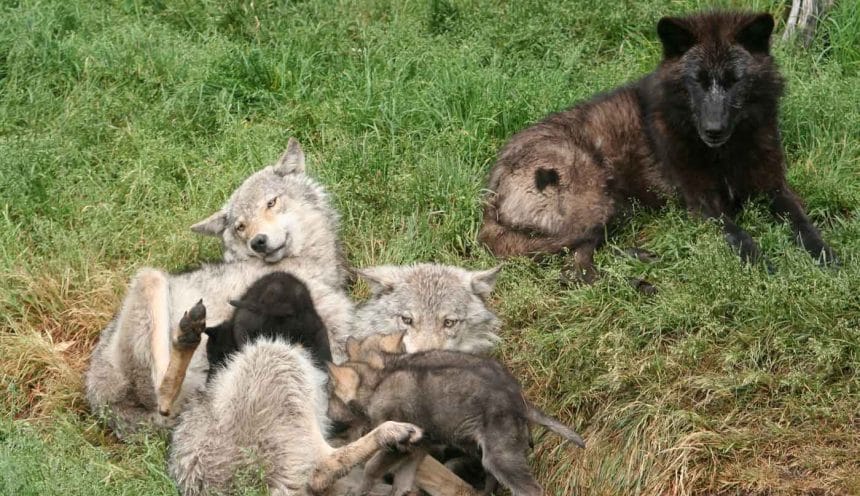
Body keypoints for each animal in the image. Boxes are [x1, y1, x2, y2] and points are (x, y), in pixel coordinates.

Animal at [85, 139, 354, 437]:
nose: (258, 242)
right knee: (163, 393)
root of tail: (101, 403)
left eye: (271, 202)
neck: (308, 264)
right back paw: (188, 333)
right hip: (150, 277)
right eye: (240, 227)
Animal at [328, 335, 586, 496]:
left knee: (531, 490)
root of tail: (521, 402)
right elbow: (403, 480)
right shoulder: (418, 446)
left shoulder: (398, 445)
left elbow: (371, 468)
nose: (327, 421)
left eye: (331, 397)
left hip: (498, 457)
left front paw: (360, 489)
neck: (378, 380)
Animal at [479, 11, 838, 284]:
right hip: (600, 199)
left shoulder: (773, 187)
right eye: (697, 80)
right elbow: (739, 234)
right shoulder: (702, 202)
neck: (725, 153)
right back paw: (639, 282)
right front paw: (762, 265)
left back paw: (640, 258)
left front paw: (826, 255)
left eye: (735, 80)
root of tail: (490, 196)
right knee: (578, 268)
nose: (714, 130)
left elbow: (802, 223)